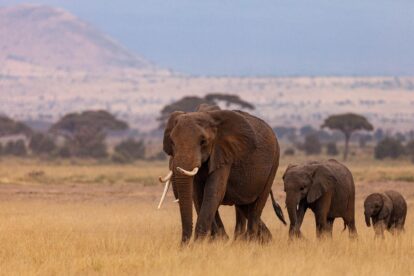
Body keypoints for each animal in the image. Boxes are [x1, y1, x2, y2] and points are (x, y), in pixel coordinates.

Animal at [158, 105, 284, 244]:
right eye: (172, 142)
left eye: (203, 141)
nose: (182, 245)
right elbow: (198, 195)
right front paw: (217, 241)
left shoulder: (224, 154)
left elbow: (213, 192)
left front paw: (199, 244)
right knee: (244, 205)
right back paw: (261, 240)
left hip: (274, 162)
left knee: (257, 206)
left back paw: (251, 241)